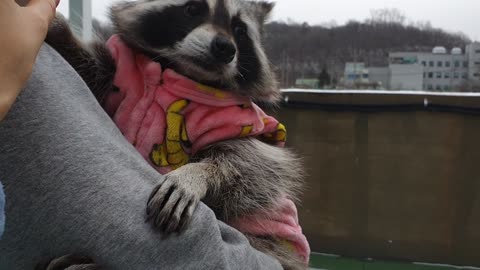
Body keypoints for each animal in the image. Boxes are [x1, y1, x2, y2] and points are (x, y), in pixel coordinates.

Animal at [46, 1, 308, 268]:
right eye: (193, 9)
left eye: (239, 30)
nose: (225, 48)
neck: (182, 73)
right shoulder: (119, 76)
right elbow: (93, 70)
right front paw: (58, 31)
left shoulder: (245, 124)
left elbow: (254, 166)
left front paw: (196, 174)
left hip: (273, 245)